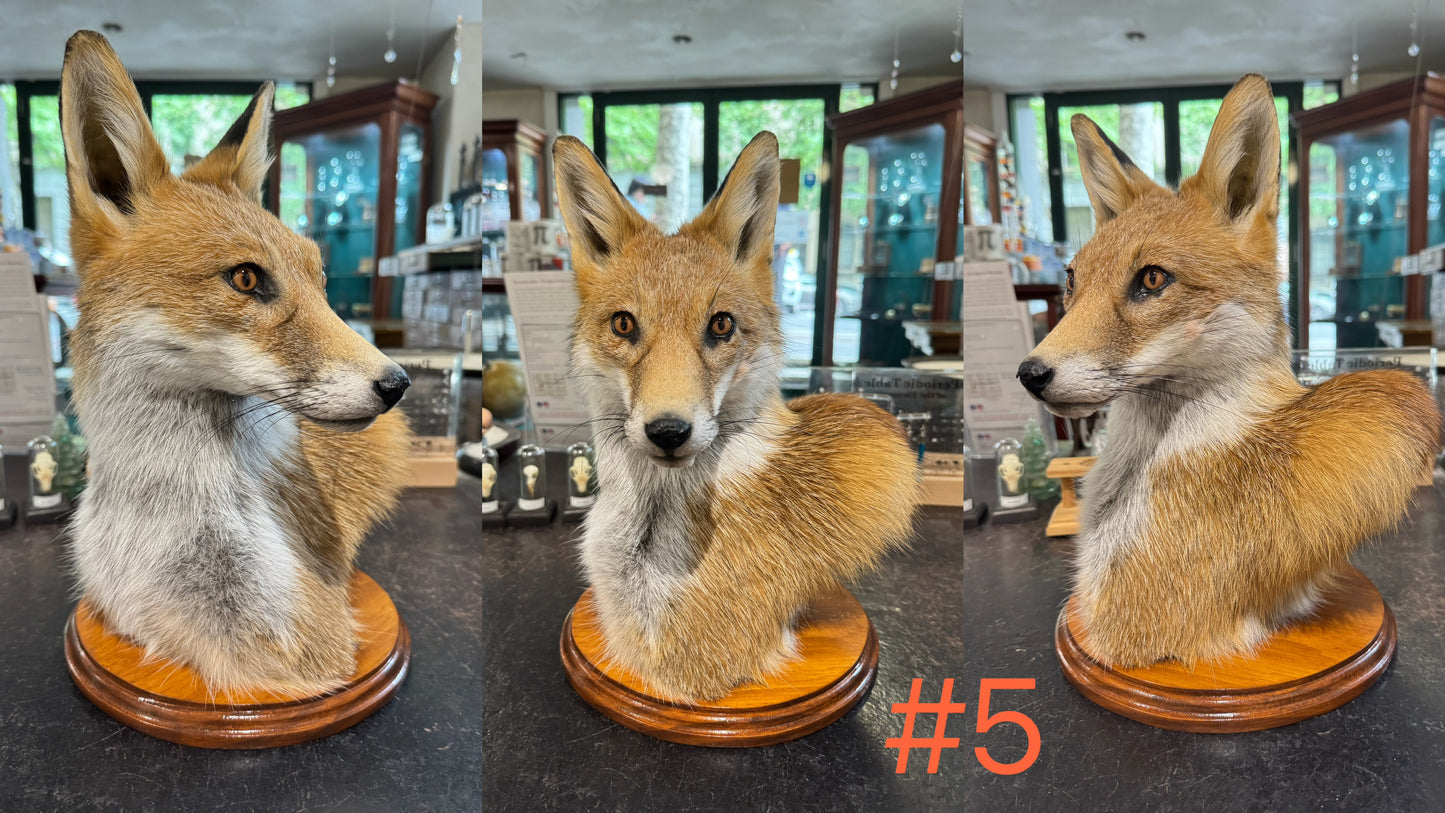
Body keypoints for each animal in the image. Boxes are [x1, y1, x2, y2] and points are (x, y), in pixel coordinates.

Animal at [60, 31, 412, 697]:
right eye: (247, 279)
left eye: (320, 278)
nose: (397, 383)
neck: (154, 527)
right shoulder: (123, 610)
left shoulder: (309, 641)